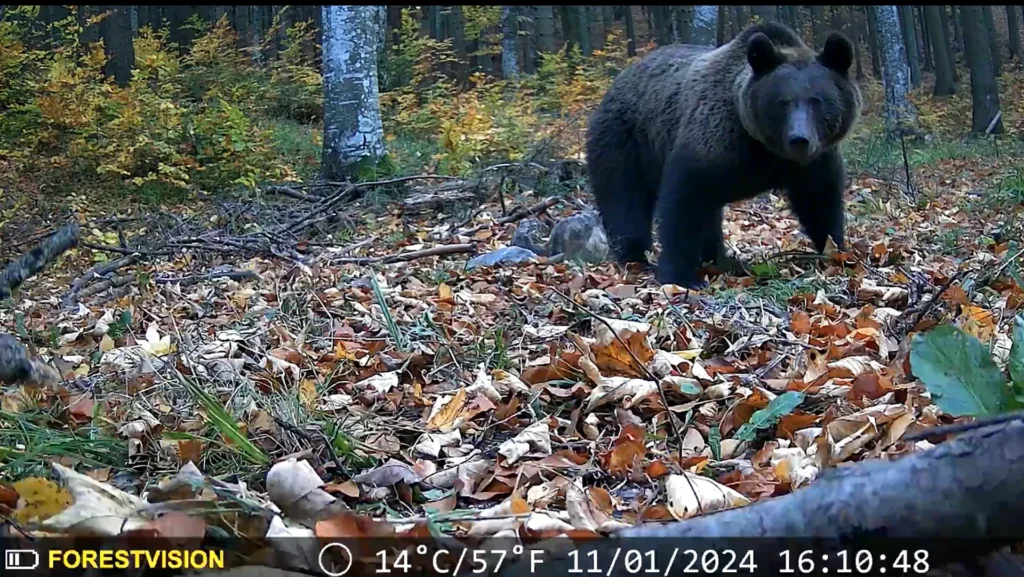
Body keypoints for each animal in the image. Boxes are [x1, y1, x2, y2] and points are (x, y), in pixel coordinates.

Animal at [585, 22, 862, 288]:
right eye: (782, 102)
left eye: (816, 100)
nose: (799, 139)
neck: (766, 148)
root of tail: (618, 82)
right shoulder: (713, 146)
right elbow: (682, 205)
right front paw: (680, 274)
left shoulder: (814, 162)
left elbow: (820, 202)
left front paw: (836, 250)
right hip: (624, 141)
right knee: (624, 200)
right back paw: (634, 256)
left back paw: (720, 258)